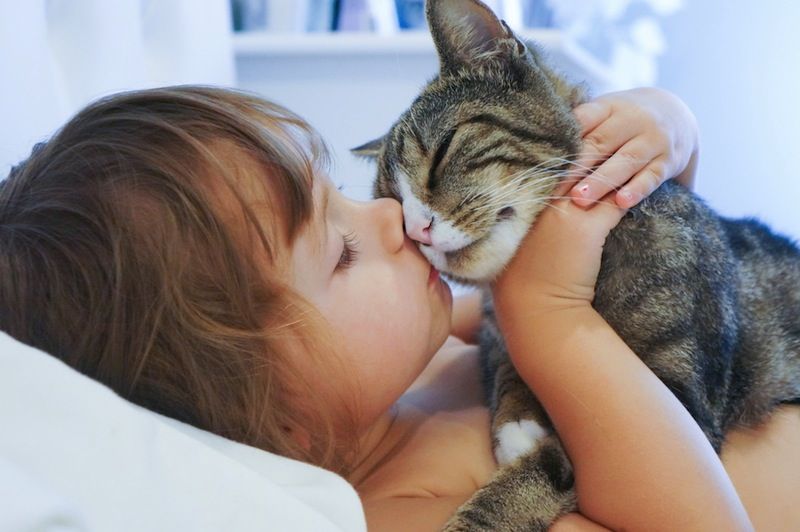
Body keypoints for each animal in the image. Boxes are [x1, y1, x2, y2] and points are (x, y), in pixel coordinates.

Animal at [354, 0, 800, 528]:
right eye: (392, 206)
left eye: (442, 152)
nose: (417, 229)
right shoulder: (493, 331)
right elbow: (503, 363)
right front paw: (518, 417)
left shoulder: (682, 397)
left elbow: (553, 466)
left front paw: (487, 509)